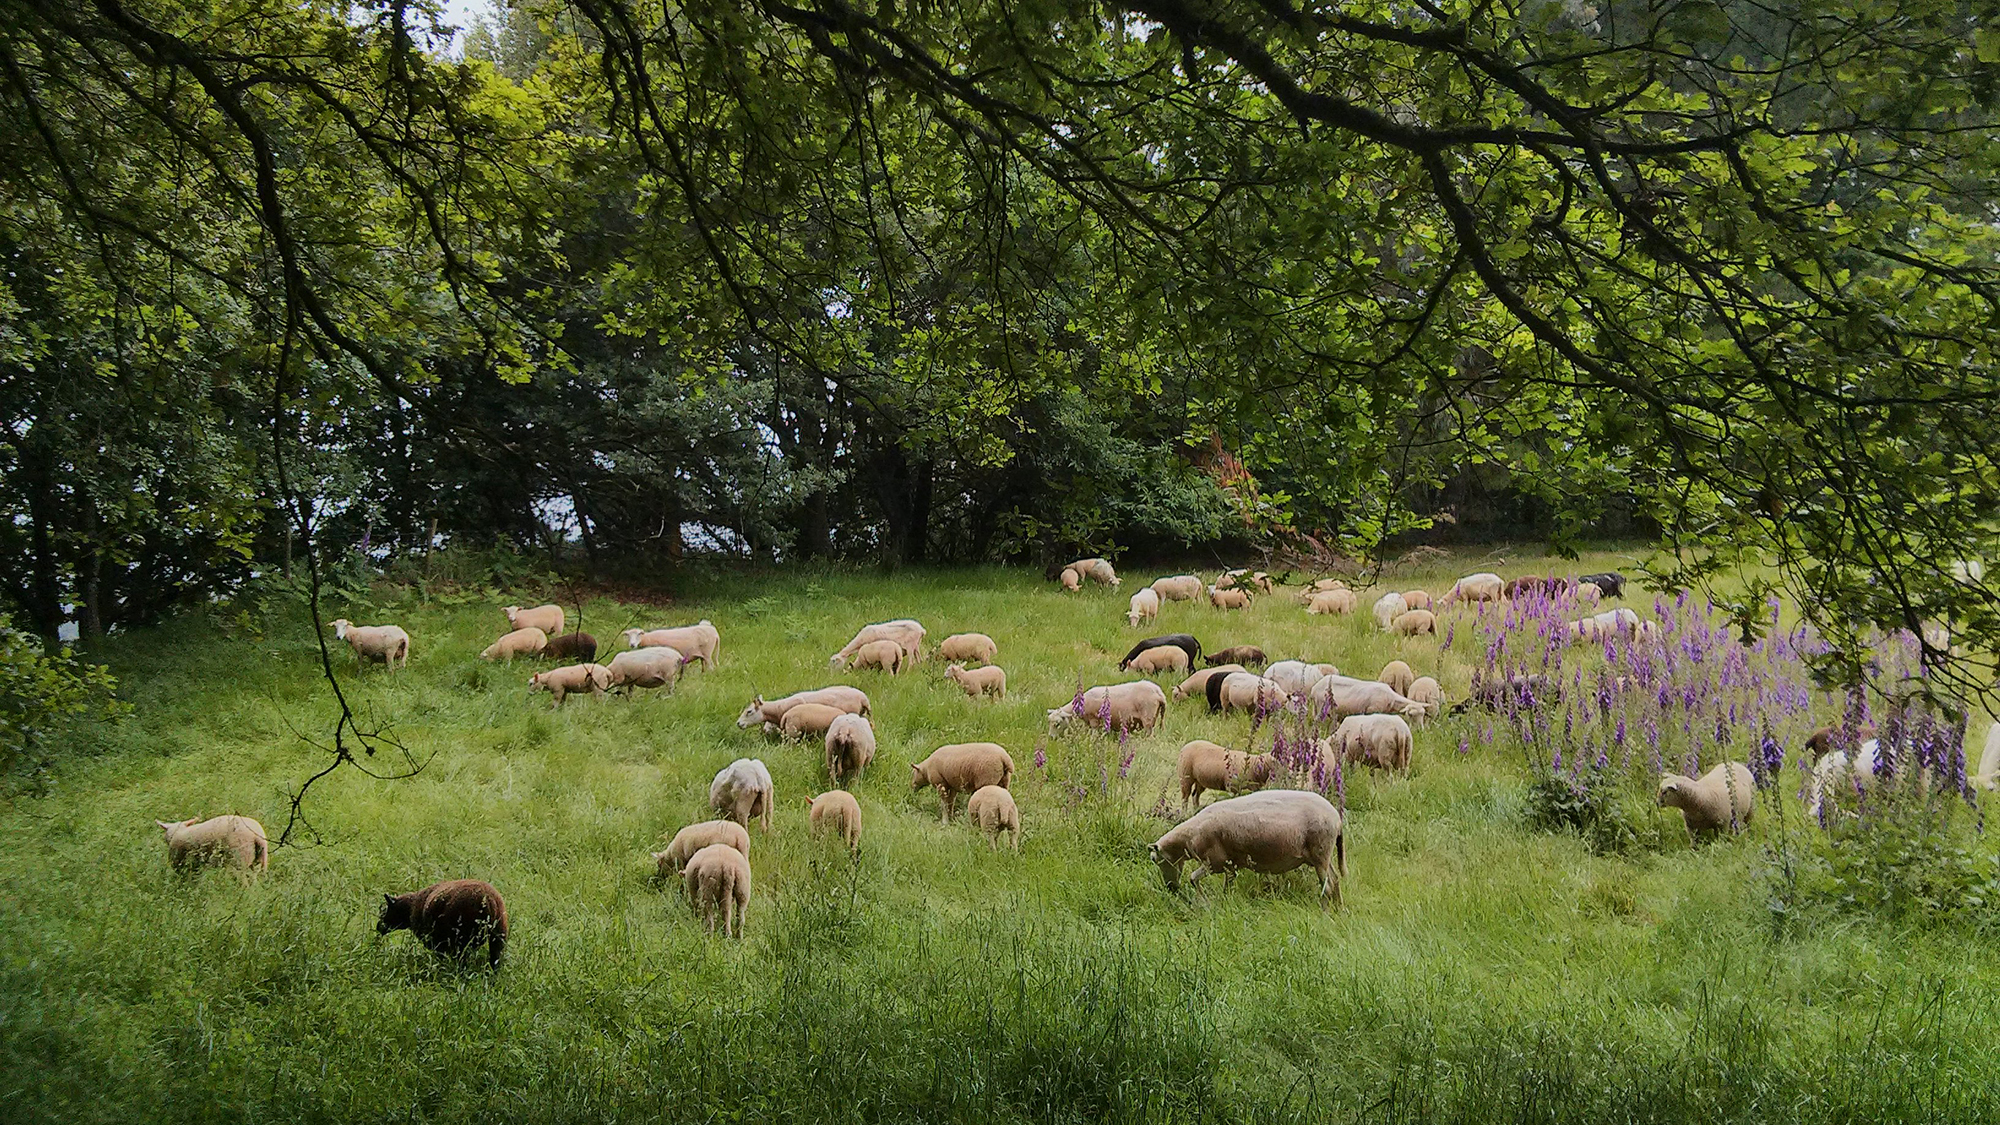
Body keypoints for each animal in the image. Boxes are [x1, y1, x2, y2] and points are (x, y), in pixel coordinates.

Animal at [376, 876, 508, 964]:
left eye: (387, 910)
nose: (378, 927)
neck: (409, 908)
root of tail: (488, 900)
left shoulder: (437, 942)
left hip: (462, 938)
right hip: (499, 935)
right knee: (495, 960)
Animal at [1152, 784, 1352, 904]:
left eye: (1155, 860)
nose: (1171, 888)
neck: (1189, 837)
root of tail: (1336, 818)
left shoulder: (1214, 862)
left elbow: (1193, 878)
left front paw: (1203, 902)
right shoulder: (1230, 866)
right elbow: (1227, 886)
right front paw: (1225, 903)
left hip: (1320, 852)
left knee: (1328, 885)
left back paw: (1326, 912)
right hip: (1322, 856)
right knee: (1335, 880)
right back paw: (1339, 910)